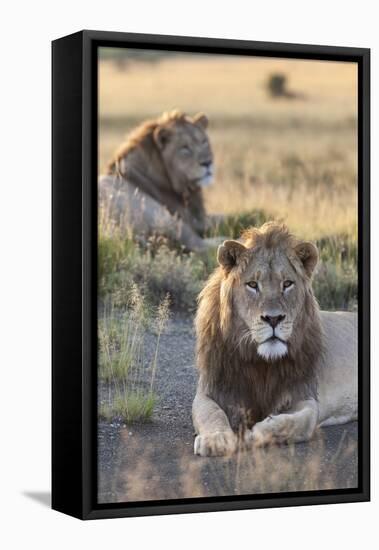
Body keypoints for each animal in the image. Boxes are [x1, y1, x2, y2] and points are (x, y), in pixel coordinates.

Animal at [98, 110, 217, 252]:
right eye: (184, 148)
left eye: (204, 141)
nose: (207, 162)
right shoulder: (191, 219)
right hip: (164, 216)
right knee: (200, 245)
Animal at [194, 222, 358, 460]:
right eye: (253, 284)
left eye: (287, 284)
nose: (273, 319)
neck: (261, 363)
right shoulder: (210, 389)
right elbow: (211, 414)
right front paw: (216, 440)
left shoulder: (306, 396)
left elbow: (296, 422)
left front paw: (255, 433)